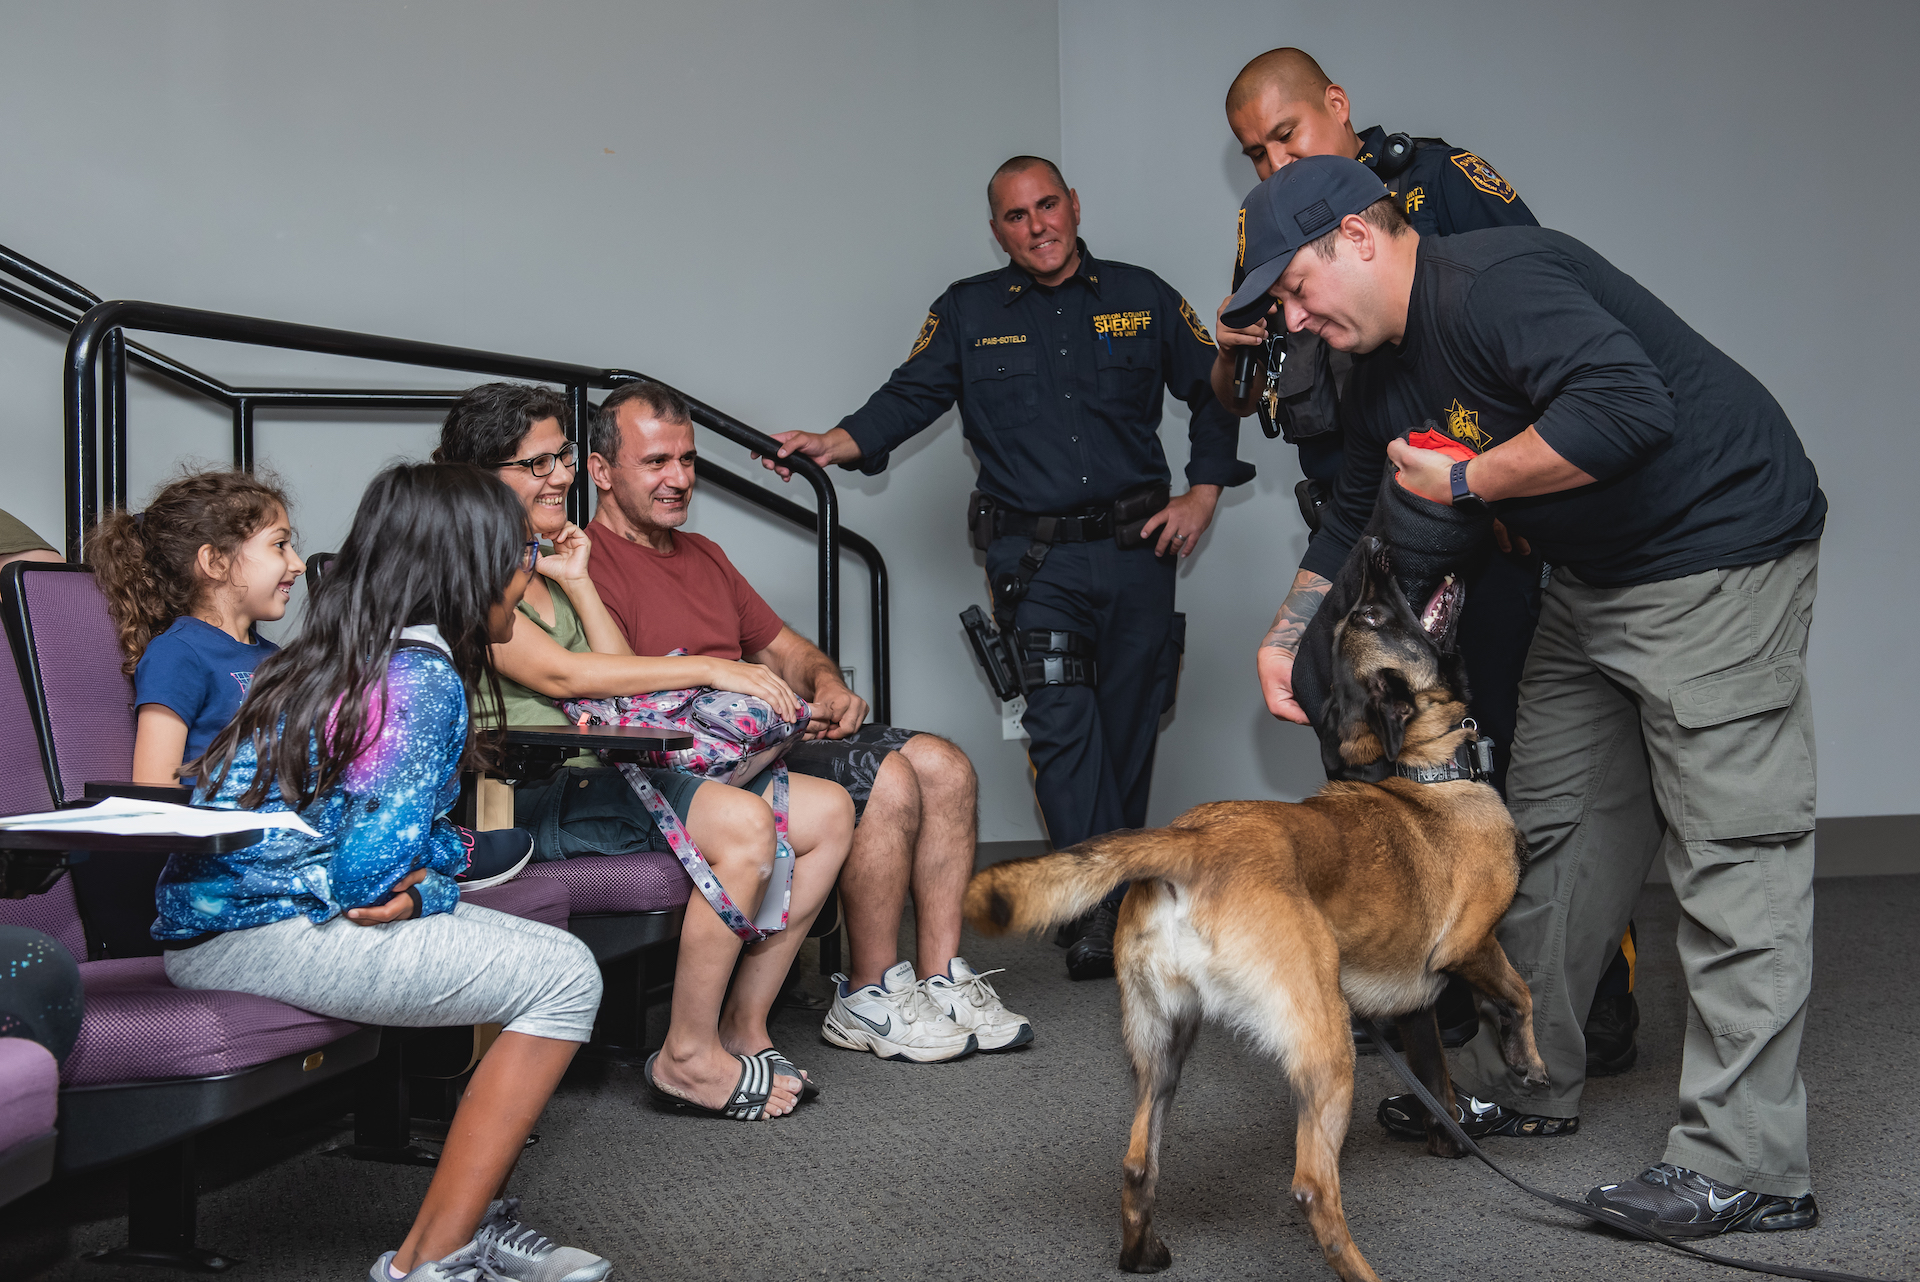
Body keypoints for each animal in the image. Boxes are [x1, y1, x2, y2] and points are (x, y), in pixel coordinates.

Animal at [967, 541, 1551, 1282]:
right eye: (1376, 615)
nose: (1375, 550)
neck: (1427, 773)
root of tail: (1188, 843)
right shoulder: (1471, 946)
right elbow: (1518, 992)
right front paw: (1528, 1064)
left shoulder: (1418, 1008)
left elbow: (1438, 1085)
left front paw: (1450, 1139)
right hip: (1326, 1047)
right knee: (1312, 1186)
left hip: (1161, 1050)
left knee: (1137, 1164)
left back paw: (1142, 1254)